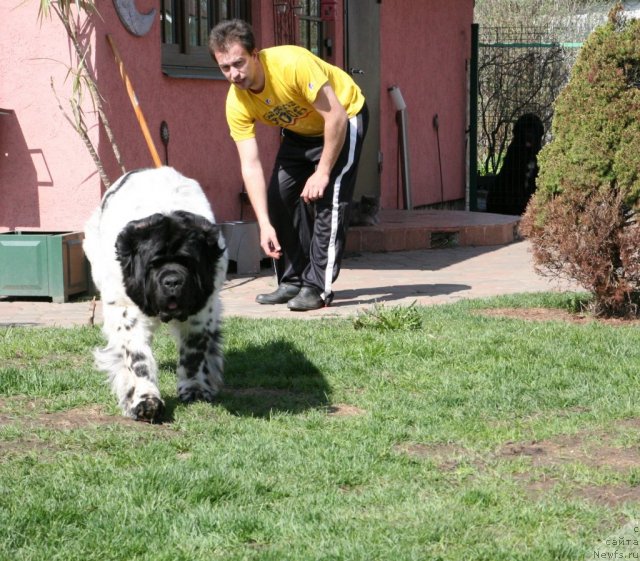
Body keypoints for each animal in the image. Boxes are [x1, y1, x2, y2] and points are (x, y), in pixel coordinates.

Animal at [82, 166, 228, 420]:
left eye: (188, 262)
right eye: (153, 263)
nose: (172, 281)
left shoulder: (203, 309)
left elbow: (194, 351)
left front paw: (195, 389)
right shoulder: (127, 311)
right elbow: (137, 358)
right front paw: (145, 400)